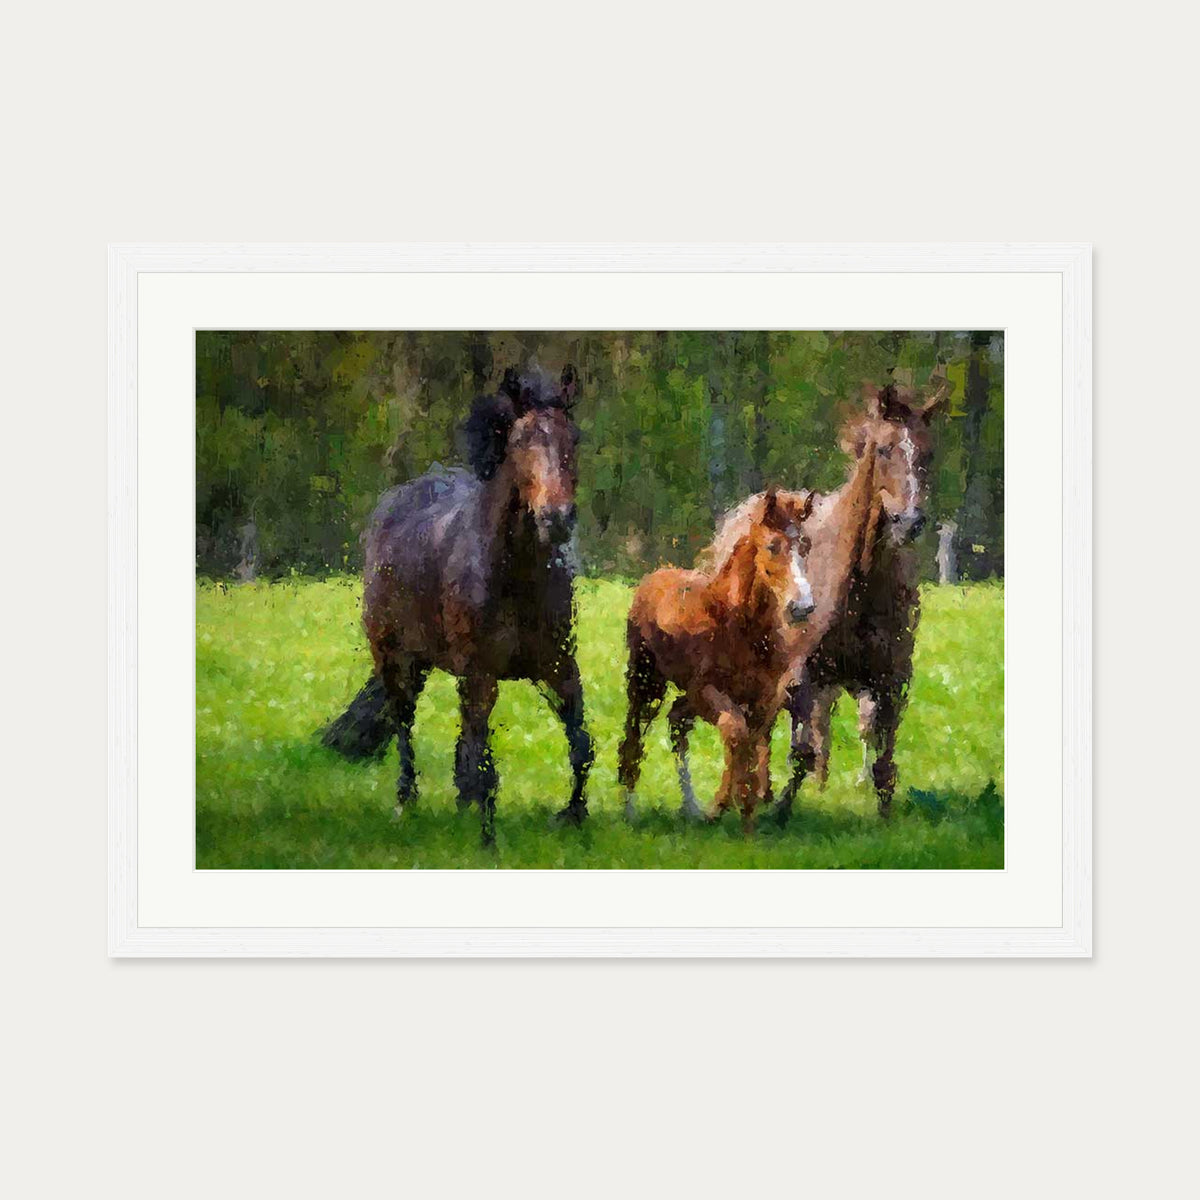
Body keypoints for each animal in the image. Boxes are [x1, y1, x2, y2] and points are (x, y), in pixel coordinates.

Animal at [320, 363, 592, 845]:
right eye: (520, 441)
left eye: (572, 438)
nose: (557, 519)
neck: (514, 577)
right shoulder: (481, 672)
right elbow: (483, 760)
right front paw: (487, 839)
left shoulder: (557, 664)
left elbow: (579, 742)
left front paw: (574, 817)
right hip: (395, 658)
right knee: (404, 723)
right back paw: (406, 800)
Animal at [617, 488, 816, 834]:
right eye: (772, 546)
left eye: (806, 545)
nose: (802, 607)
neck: (739, 625)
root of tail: (655, 576)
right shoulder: (705, 691)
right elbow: (735, 733)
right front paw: (724, 806)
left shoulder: (765, 698)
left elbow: (752, 743)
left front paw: (745, 813)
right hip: (646, 683)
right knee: (635, 735)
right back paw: (631, 811)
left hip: (682, 696)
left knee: (677, 721)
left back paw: (691, 807)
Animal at [702, 371, 951, 823]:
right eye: (884, 448)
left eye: (928, 451)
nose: (909, 521)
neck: (861, 586)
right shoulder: (803, 675)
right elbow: (800, 749)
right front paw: (780, 810)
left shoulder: (891, 679)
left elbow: (882, 758)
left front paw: (883, 817)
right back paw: (765, 790)